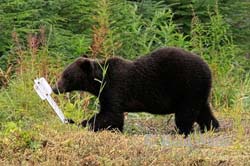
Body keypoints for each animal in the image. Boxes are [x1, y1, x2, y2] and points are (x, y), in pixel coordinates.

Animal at [52, 47, 219, 136]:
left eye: (65, 76)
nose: (55, 88)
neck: (100, 80)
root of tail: (208, 68)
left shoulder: (114, 87)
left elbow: (110, 114)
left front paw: (77, 122)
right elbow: (112, 116)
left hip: (187, 86)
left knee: (185, 113)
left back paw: (182, 131)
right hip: (198, 91)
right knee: (203, 111)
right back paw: (211, 127)